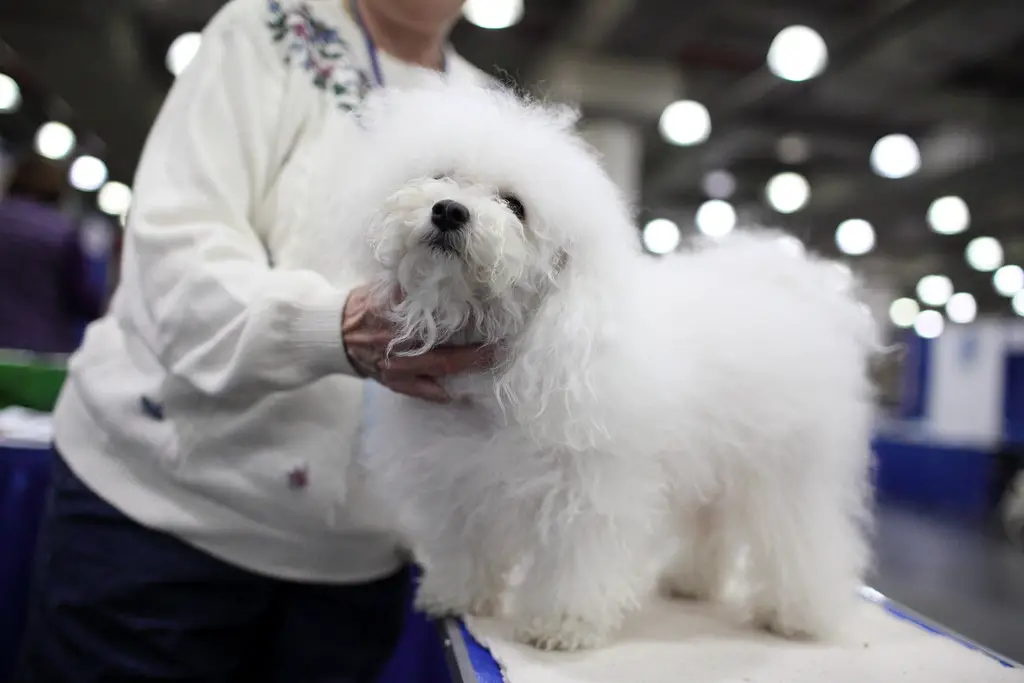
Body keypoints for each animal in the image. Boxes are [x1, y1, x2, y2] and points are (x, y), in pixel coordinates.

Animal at [309, 80, 872, 651]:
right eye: (442, 177)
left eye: (514, 206)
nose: (448, 211)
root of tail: (792, 291)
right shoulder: (457, 478)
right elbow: (465, 545)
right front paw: (459, 595)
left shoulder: (588, 485)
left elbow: (573, 559)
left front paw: (560, 624)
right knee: (710, 526)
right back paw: (691, 582)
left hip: (786, 472)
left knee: (802, 538)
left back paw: (795, 613)